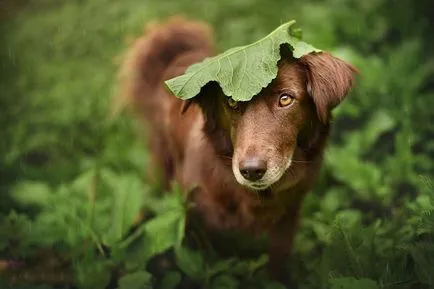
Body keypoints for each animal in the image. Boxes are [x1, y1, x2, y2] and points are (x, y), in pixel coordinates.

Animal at [118, 16, 356, 280]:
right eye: (231, 102)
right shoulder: (198, 222)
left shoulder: (288, 219)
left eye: (285, 99)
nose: (251, 170)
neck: (257, 198)